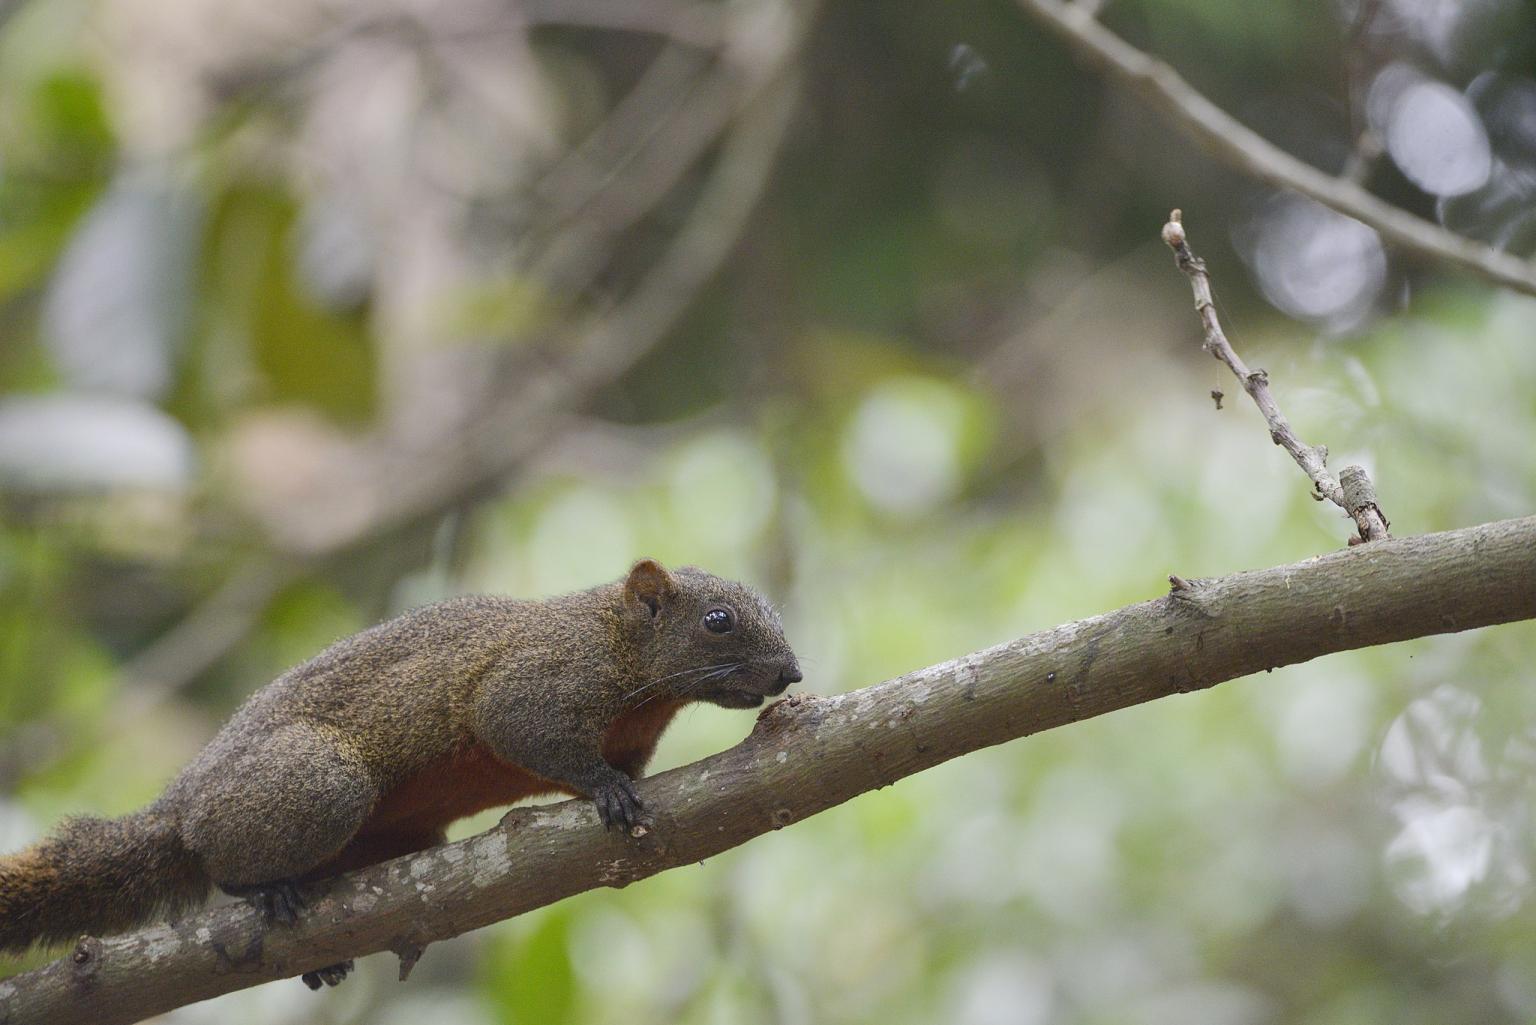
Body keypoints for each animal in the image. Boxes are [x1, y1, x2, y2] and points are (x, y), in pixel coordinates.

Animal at [3, 556, 804, 989]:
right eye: (719, 620)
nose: (791, 673)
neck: (623, 649)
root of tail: (180, 800)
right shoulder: (534, 683)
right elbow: (526, 731)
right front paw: (606, 789)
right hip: (318, 784)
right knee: (219, 857)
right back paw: (267, 890)